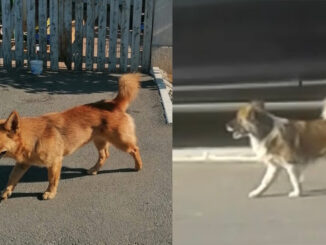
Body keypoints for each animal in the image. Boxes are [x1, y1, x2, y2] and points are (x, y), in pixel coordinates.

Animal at [0, 73, 143, 201]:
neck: (32, 137)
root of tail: (113, 104)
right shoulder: (22, 165)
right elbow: (12, 178)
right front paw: (6, 191)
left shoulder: (55, 162)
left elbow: (52, 179)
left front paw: (50, 193)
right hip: (99, 140)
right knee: (104, 155)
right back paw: (94, 169)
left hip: (120, 141)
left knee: (134, 149)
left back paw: (138, 166)